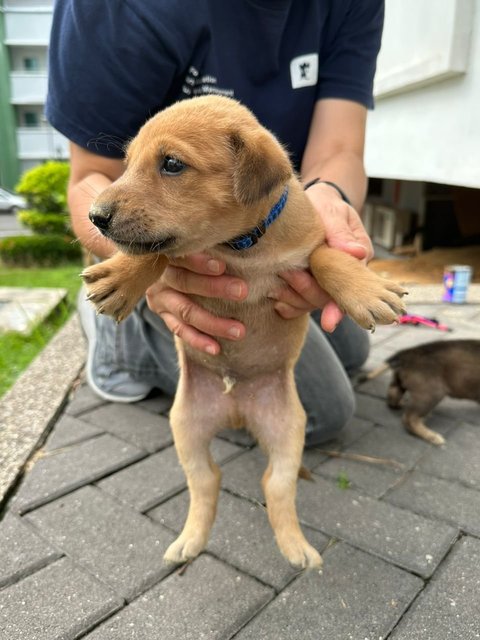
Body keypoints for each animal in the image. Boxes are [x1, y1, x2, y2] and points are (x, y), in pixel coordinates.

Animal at [82, 92, 404, 568]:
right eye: (128, 163)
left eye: (172, 164)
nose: (95, 217)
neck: (239, 248)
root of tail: (235, 408)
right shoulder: (182, 255)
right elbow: (157, 254)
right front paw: (121, 277)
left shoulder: (312, 247)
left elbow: (327, 257)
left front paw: (366, 289)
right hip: (186, 427)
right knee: (206, 480)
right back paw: (191, 541)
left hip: (288, 430)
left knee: (275, 484)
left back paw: (296, 548)